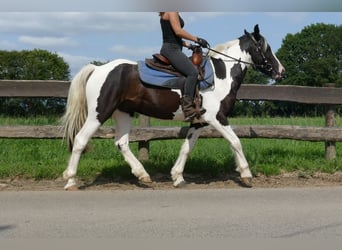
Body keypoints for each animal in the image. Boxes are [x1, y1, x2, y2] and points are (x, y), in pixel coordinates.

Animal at [62, 24, 286, 189]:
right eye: (266, 48)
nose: (281, 71)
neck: (221, 75)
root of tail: (98, 69)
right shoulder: (217, 117)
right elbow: (236, 141)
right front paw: (246, 174)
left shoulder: (199, 121)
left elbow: (187, 147)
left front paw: (177, 176)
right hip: (99, 113)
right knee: (80, 140)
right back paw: (71, 180)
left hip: (123, 112)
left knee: (121, 143)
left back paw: (143, 175)